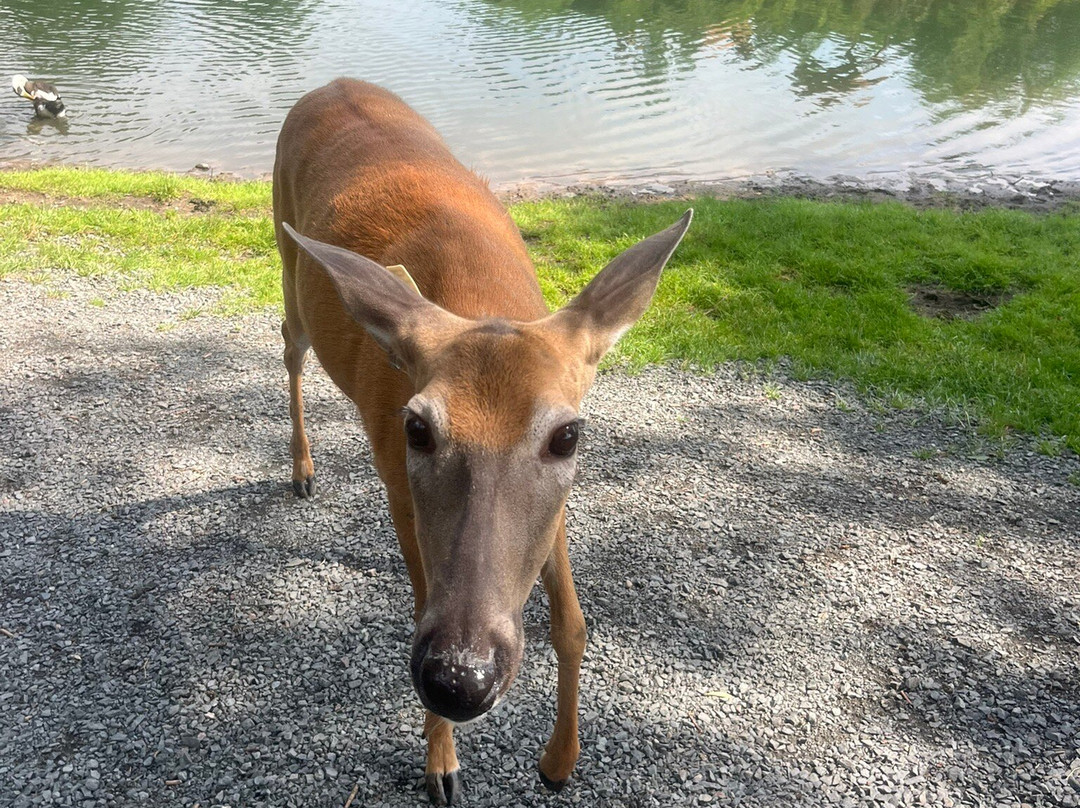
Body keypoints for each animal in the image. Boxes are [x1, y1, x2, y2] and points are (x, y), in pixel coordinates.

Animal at [273, 78, 691, 805]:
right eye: (416, 427)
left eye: (568, 435)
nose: (460, 678)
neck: (481, 301)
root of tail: (331, 84)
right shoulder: (399, 487)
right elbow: (419, 602)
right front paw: (441, 762)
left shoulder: (554, 508)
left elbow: (573, 623)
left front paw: (558, 762)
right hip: (283, 252)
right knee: (288, 345)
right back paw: (302, 468)